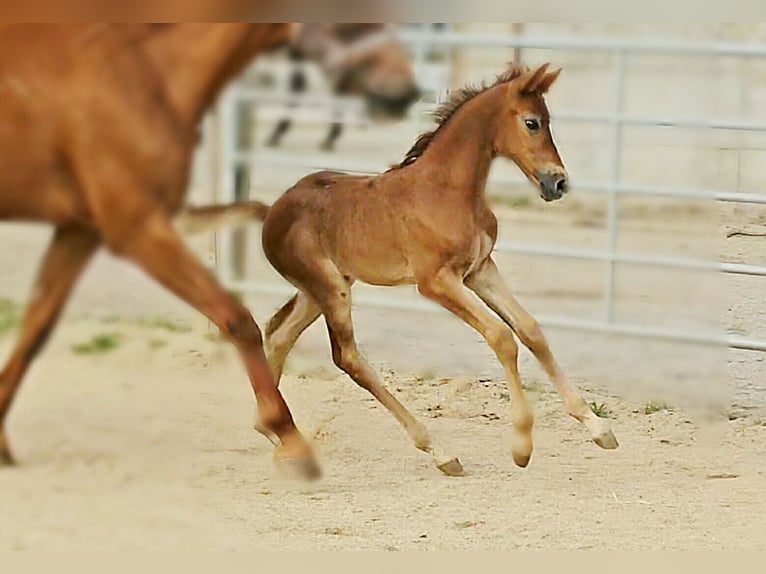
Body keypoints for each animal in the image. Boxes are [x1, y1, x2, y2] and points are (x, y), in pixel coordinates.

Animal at [0, 23, 420, 482]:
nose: (404, 93)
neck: (144, 72)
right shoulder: (137, 228)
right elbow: (238, 320)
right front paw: (291, 443)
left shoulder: (80, 231)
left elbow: (35, 329)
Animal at [182, 64, 624, 476]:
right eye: (532, 123)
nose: (559, 183)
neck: (447, 191)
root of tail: (271, 211)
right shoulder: (436, 282)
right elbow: (502, 336)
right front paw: (521, 447)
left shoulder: (480, 270)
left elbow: (530, 331)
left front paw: (598, 429)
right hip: (330, 289)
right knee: (347, 357)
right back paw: (440, 451)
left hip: (317, 290)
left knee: (278, 336)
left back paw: (276, 434)